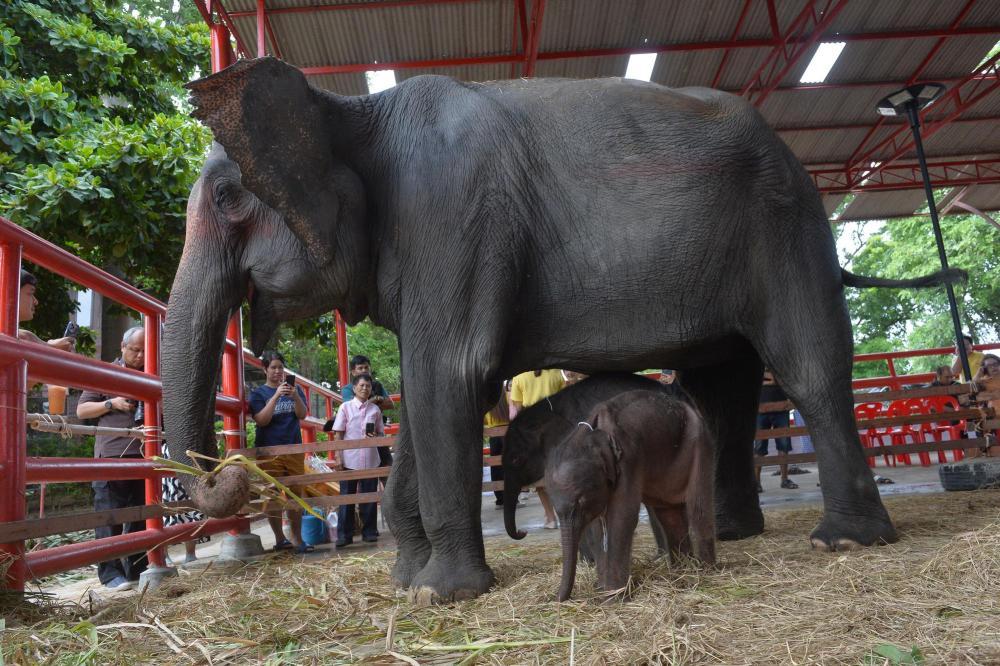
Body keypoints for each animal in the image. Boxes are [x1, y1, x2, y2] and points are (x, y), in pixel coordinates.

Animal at [548, 390, 720, 600]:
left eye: (580, 501)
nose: (556, 599)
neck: (594, 432)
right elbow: (597, 526)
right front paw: (604, 591)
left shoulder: (628, 460)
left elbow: (622, 516)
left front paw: (612, 598)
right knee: (668, 513)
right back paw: (681, 571)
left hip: (699, 442)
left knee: (698, 507)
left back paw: (706, 572)